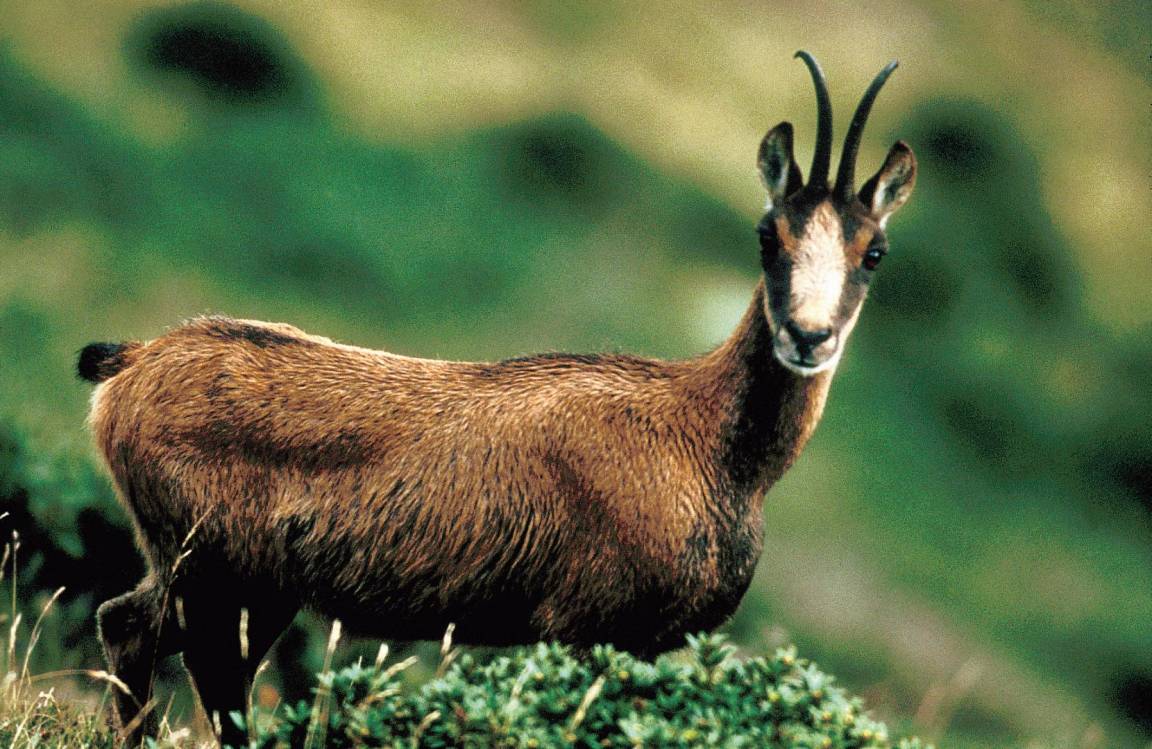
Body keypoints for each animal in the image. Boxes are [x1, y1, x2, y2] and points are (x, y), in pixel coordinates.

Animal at [79, 51, 915, 746]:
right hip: (217, 573)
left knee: (146, 635)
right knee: (178, 655)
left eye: (873, 250)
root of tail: (132, 363)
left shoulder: (644, 645)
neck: (708, 442)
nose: (808, 336)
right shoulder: (582, 625)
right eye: (767, 234)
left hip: (237, 582)